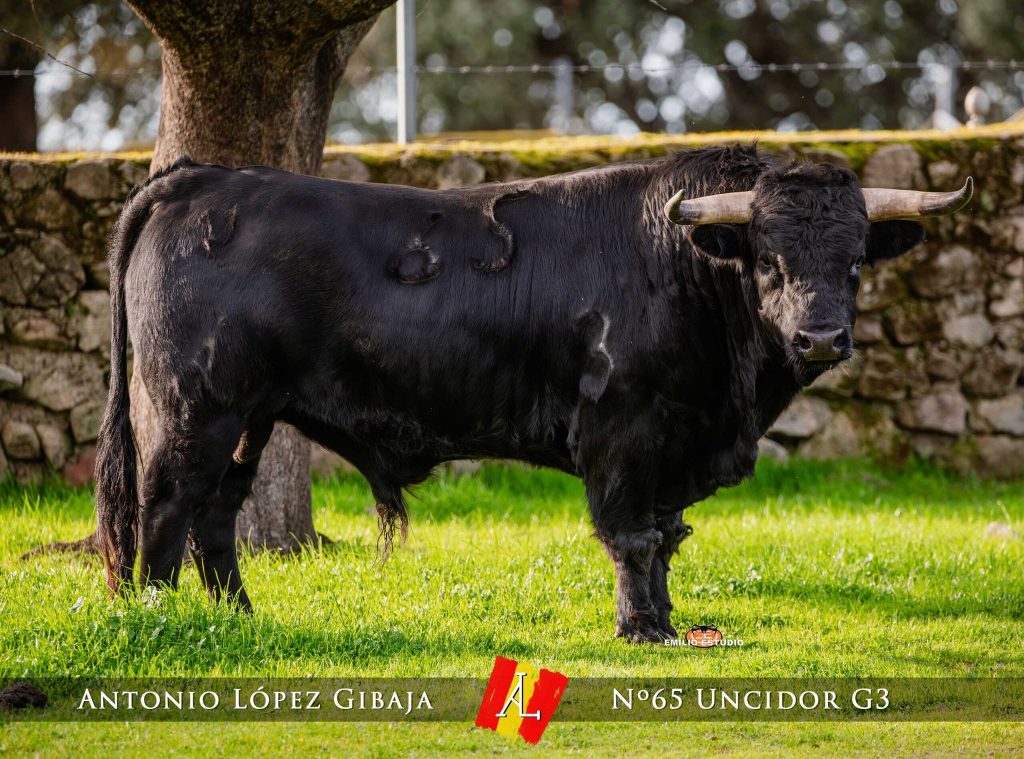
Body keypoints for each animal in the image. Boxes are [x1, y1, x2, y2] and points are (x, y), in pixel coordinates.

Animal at [95, 145, 972, 642]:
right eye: (767, 260)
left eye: (855, 260)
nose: (821, 338)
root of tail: (199, 179)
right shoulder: (622, 435)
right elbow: (633, 538)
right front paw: (639, 629)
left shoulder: (673, 446)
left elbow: (667, 538)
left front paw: (666, 619)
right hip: (196, 408)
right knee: (167, 508)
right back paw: (161, 616)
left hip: (252, 415)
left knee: (216, 514)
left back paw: (238, 617)